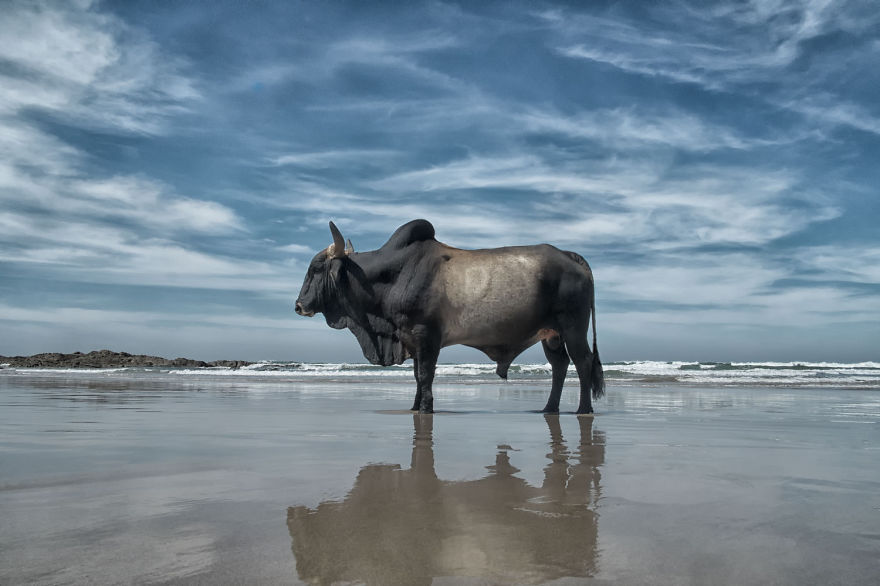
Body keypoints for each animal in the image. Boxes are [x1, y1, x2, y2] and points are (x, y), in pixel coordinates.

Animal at [294, 219, 604, 414]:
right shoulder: (411, 339)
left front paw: (426, 408)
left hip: (573, 327)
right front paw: (414, 407)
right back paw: (549, 409)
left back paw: (583, 409)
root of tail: (570, 256)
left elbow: (425, 374)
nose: (298, 305)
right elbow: (417, 377)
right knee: (560, 365)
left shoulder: (426, 335)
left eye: (316, 268)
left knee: (583, 361)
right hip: (551, 334)